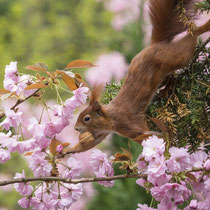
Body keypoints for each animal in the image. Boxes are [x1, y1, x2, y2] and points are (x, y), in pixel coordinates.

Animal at [64, 0, 210, 154]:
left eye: (87, 118)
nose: (76, 128)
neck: (109, 118)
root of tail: (155, 45)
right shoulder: (101, 132)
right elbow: (91, 143)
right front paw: (67, 151)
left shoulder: (126, 124)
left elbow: (144, 135)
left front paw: (164, 144)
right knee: (171, 77)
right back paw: (167, 89)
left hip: (176, 57)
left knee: (190, 40)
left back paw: (203, 27)